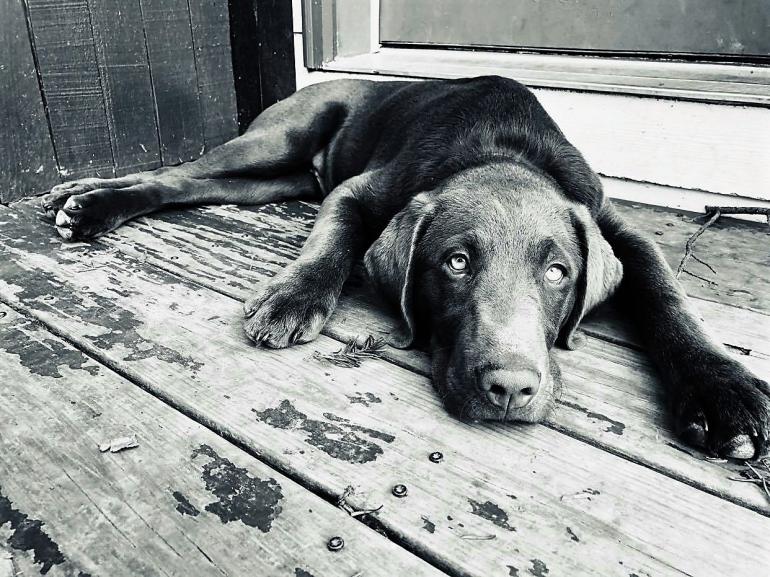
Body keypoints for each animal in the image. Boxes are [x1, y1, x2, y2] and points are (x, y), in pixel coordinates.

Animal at [42, 75, 768, 460]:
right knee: (177, 173)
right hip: (279, 138)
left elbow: (666, 292)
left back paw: (78, 199)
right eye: (455, 263)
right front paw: (294, 296)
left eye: (559, 273)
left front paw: (721, 390)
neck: (502, 147)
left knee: (188, 185)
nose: (509, 389)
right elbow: (331, 244)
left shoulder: (616, 227)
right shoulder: (357, 192)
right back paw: (83, 199)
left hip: (272, 179)